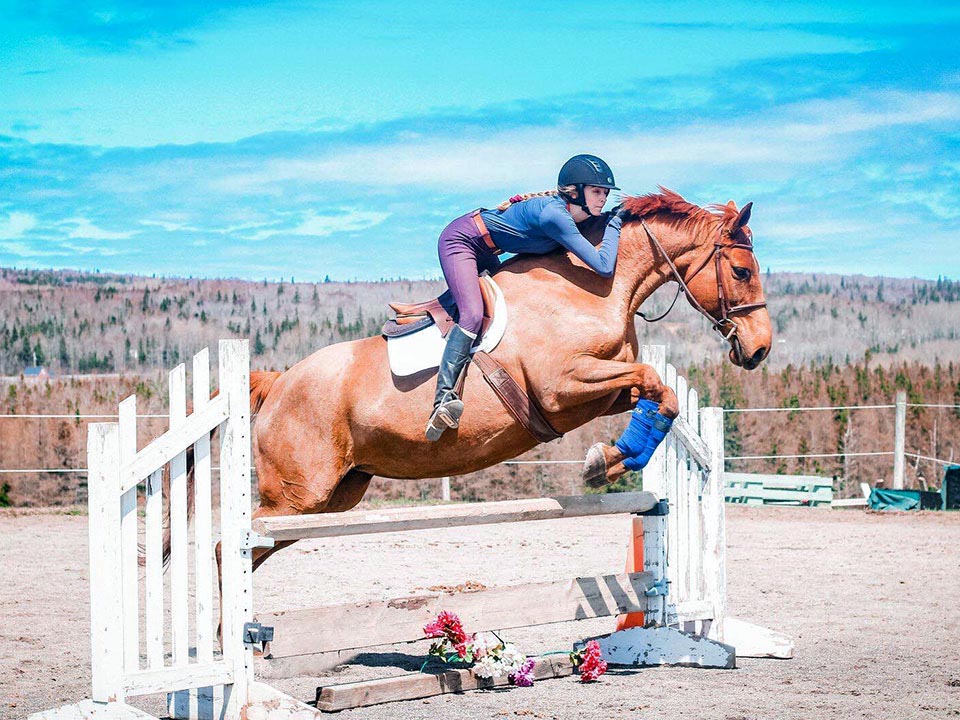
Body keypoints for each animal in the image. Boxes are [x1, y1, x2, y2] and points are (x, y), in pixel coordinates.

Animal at [238, 188, 772, 572]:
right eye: (741, 272)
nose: (760, 349)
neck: (597, 287)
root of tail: (279, 383)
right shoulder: (561, 388)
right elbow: (652, 381)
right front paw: (604, 461)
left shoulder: (604, 392)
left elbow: (662, 397)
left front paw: (612, 460)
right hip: (296, 495)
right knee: (236, 544)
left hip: (331, 497)